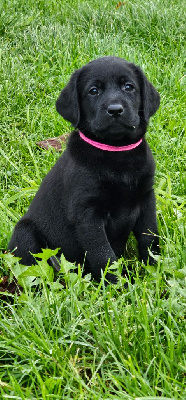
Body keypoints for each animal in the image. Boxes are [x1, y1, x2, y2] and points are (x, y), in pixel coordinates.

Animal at [8, 56, 160, 282]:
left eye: (128, 87)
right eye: (93, 91)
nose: (115, 109)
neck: (117, 152)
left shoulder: (146, 198)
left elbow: (150, 239)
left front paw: (156, 272)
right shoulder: (87, 214)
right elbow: (104, 255)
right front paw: (117, 285)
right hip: (24, 232)